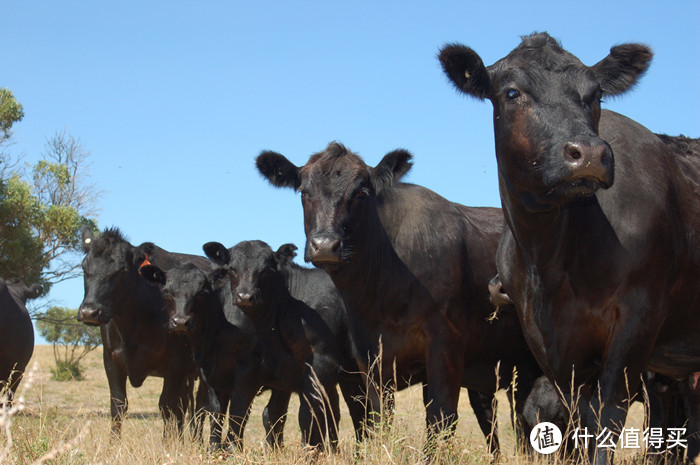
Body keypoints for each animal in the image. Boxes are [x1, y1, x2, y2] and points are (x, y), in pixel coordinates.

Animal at [77, 227, 208, 436]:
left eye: (122, 269)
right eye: (84, 267)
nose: (90, 312)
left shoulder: (175, 364)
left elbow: (167, 405)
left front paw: (167, 442)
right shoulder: (111, 360)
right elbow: (118, 405)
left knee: (199, 407)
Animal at [200, 239, 366, 450]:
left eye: (267, 270)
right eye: (232, 268)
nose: (245, 296)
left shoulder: (321, 364)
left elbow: (307, 414)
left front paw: (309, 451)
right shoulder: (282, 372)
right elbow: (272, 414)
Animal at [258, 143, 540, 452]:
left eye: (361, 193)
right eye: (304, 192)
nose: (325, 245)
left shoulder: (446, 346)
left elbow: (440, 418)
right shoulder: (370, 356)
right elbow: (377, 419)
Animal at [440, 31, 696, 460]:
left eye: (596, 95)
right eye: (512, 92)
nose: (589, 154)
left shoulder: (638, 321)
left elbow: (606, 417)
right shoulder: (546, 340)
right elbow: (577, 418)